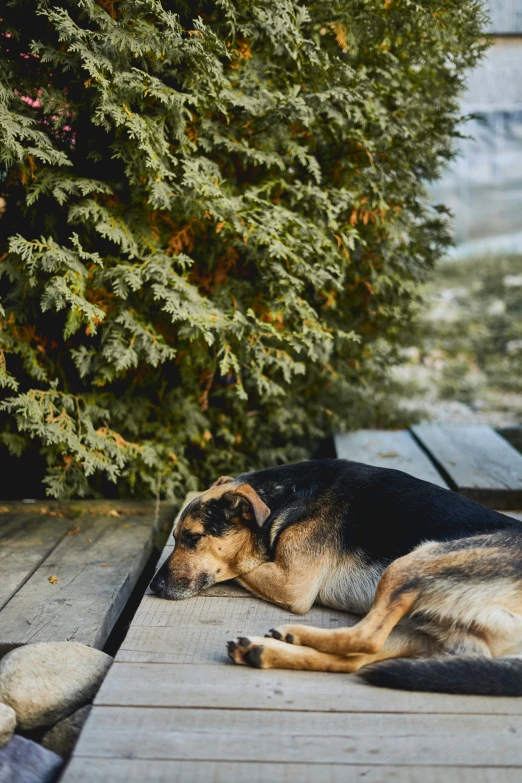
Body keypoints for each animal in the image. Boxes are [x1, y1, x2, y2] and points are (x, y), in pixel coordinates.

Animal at [147, 456, 522, 696]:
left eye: (192, 538)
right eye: (176, 536)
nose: (153, 586)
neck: (288, 496)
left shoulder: (293, 585)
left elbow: (240, 565)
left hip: (411, 564)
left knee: (366, 637)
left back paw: (291, 634)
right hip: (423, 628)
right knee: (355, 659)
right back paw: (263, 650)